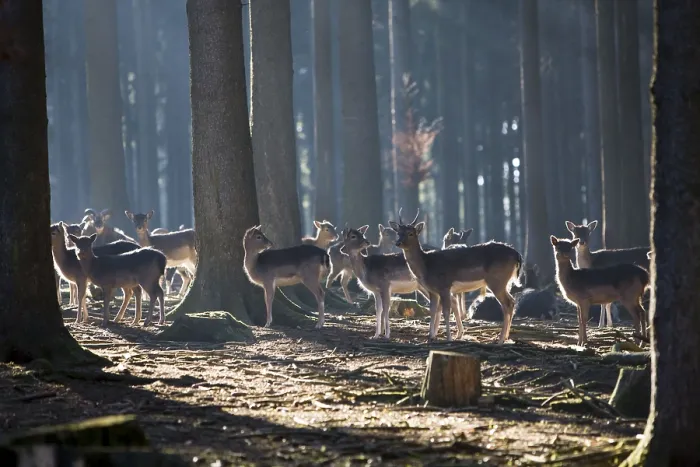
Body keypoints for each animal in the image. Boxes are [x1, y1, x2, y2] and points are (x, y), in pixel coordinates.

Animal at [391, 209, 522, 343]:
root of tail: (517, 255)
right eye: (398, 232)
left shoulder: (444, 286)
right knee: (511, 301)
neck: (426, 266)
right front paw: (430, 337)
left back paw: (500, 340)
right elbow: (432, 311)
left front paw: (449, 338)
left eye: (411, 233)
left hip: (497, 280)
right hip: (503, 282)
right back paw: (505, 337)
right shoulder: (433, 291)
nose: (398, 243)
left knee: (507, 303)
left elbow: (446, 312)